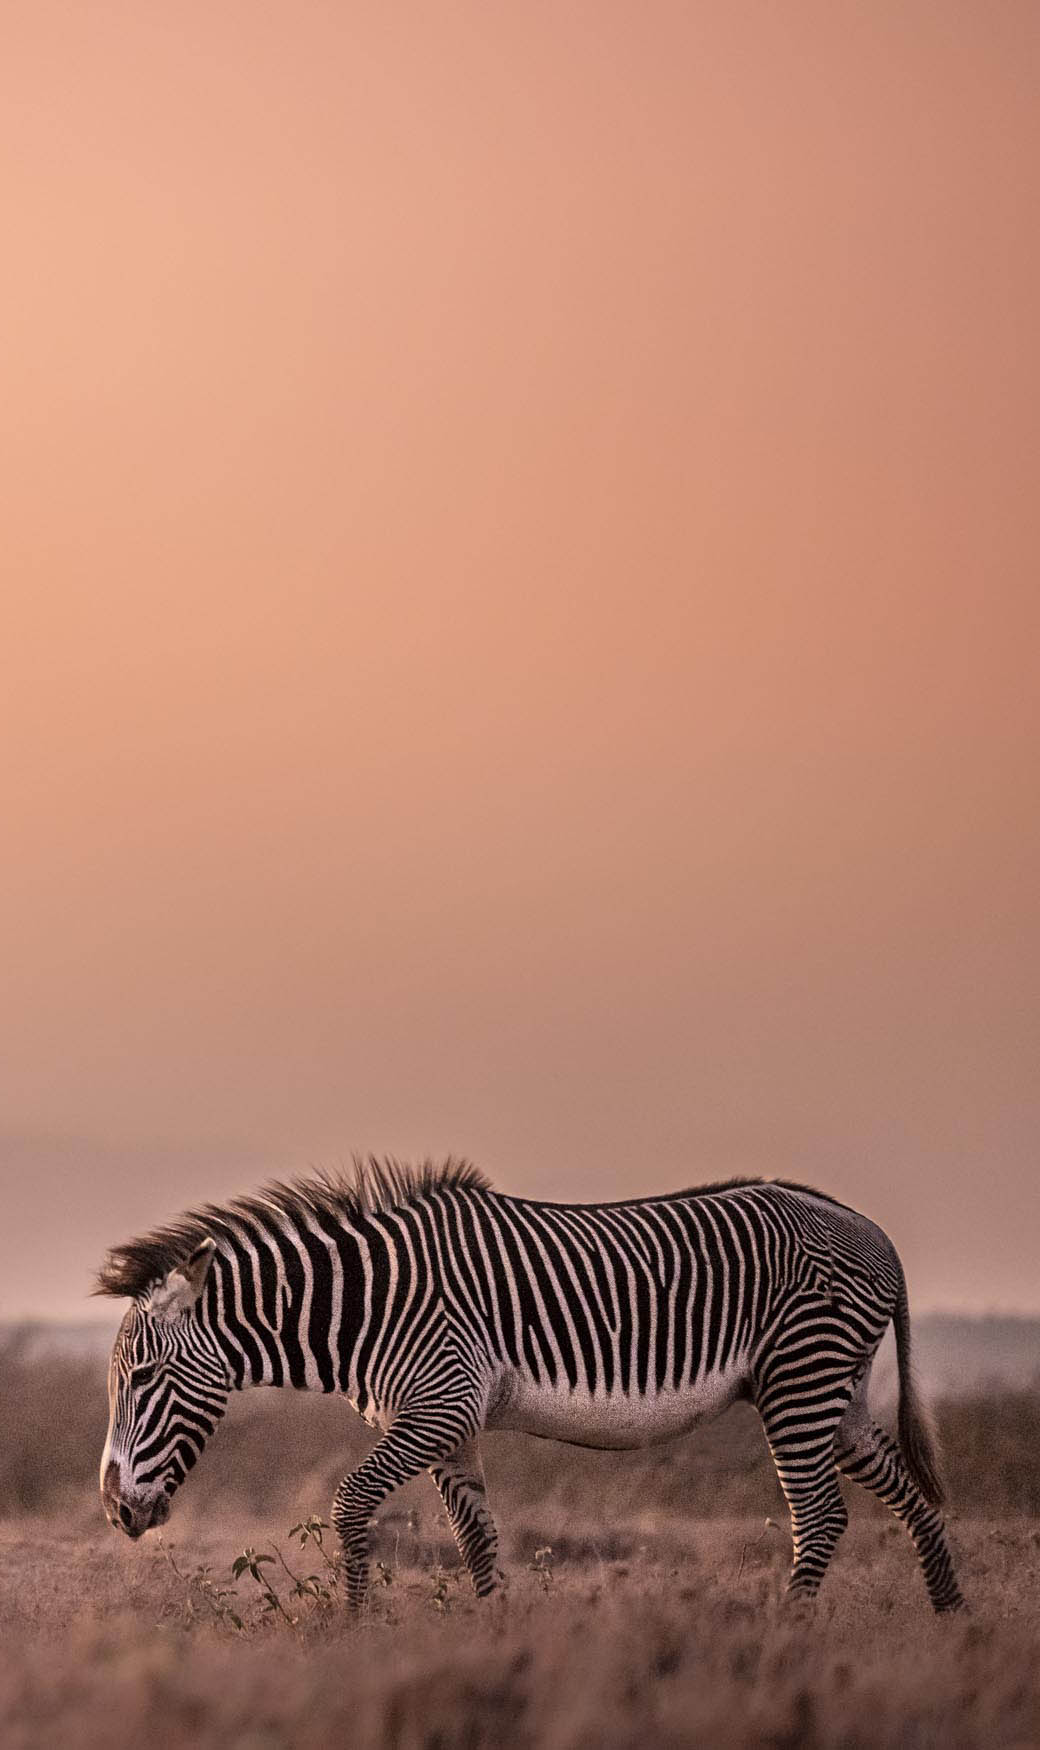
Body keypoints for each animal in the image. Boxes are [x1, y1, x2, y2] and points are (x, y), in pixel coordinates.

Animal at [96, 1159, 965, 1612]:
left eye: (144, 1377)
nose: (114, 1511)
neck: (367, 1303)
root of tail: (870, 1227)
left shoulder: (437, 1405)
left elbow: (348, 1503)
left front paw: (353, 1628)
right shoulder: (452, 1424)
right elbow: (478, 1538)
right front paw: (495, 1637)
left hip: (798, 1380)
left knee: (819, 1516)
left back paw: (785, 1638)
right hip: (835, 1393)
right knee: (913, 1500)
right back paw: (951, 1627)